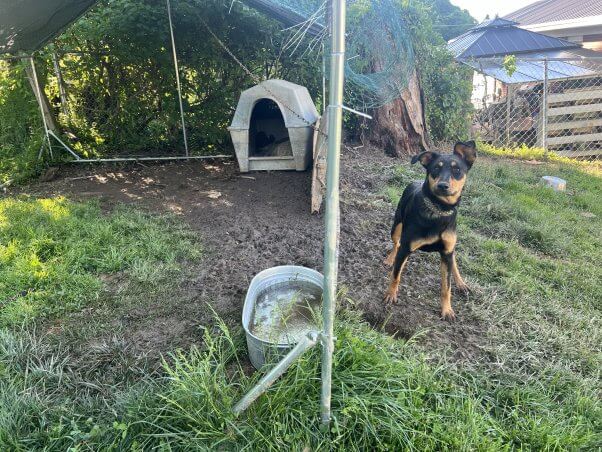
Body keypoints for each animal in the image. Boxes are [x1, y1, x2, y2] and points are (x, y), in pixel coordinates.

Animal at [382, 141, 476, 322]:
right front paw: (390, 294)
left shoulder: (447, 250)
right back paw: (390, 260)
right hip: (396, 225)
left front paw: (447, 310)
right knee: (396, 243)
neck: (439, 210)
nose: (442, 185)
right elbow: (396, 275)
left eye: (457, 170)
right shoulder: (406, 247)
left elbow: (446, 286)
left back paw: (461, 283)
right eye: (435, 168)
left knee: (454, 260)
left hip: (450, 248)